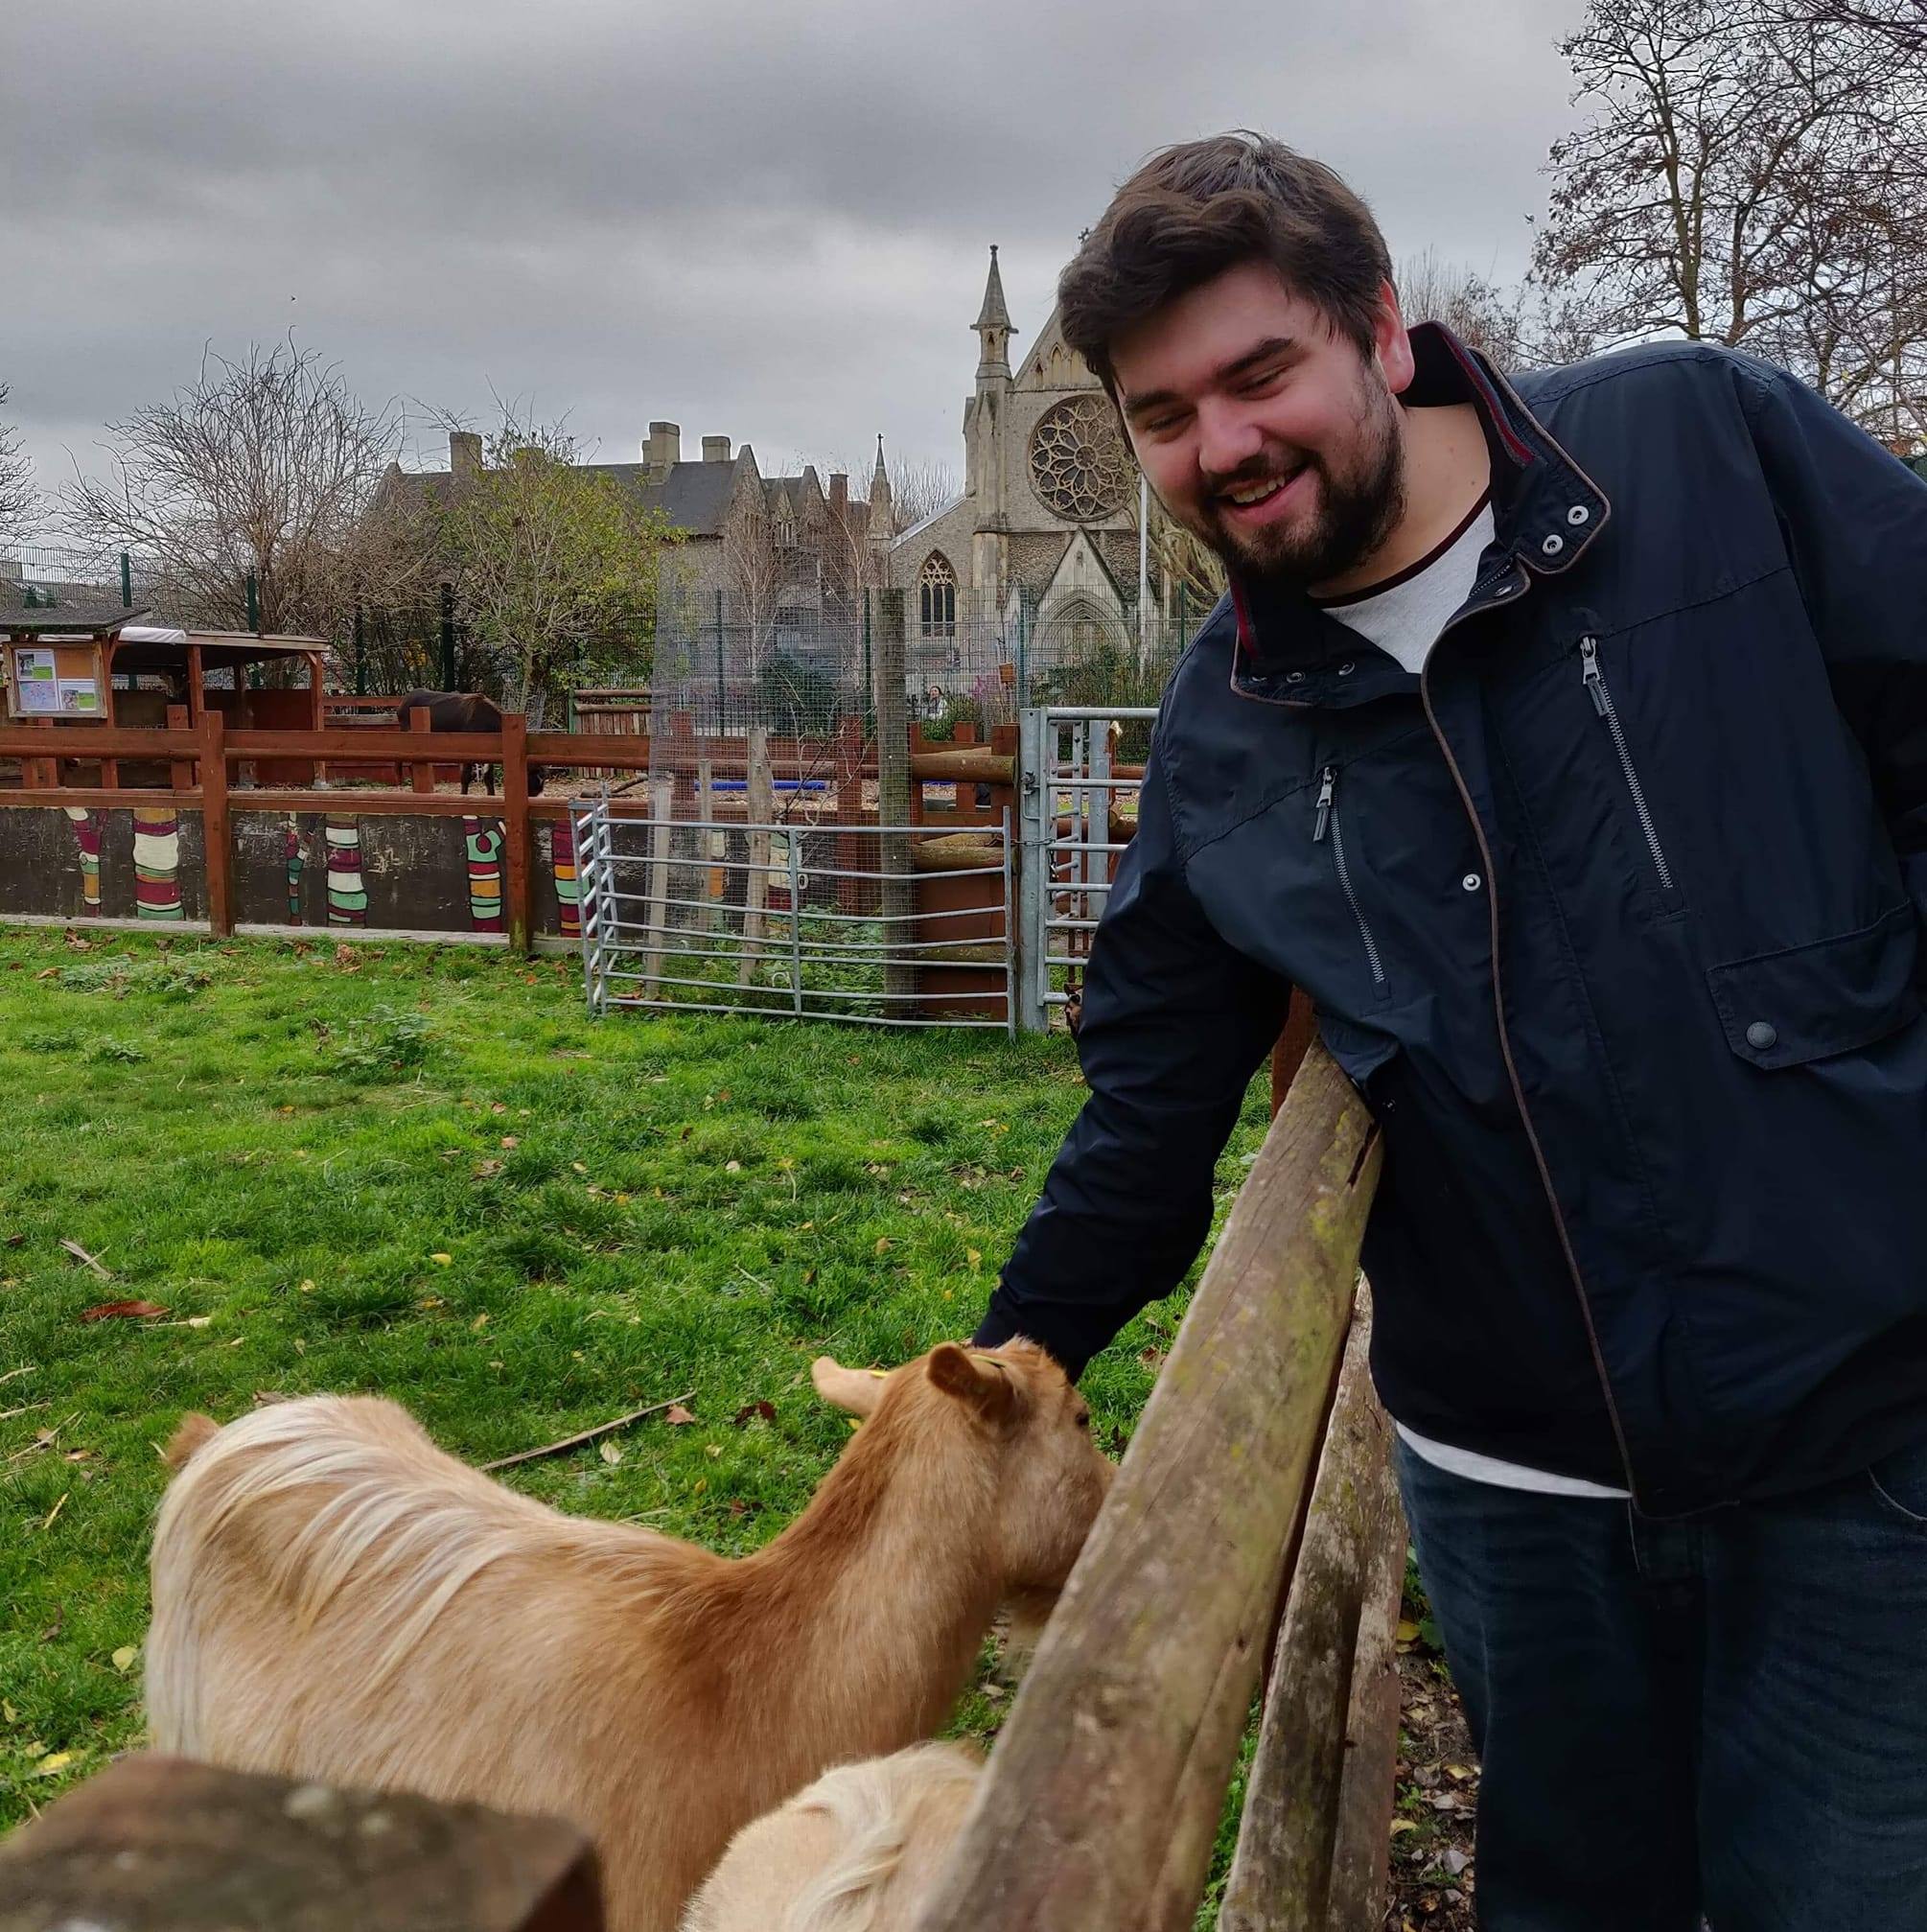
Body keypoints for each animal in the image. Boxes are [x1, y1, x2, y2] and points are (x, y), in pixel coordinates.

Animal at [391, 690, 548, 797]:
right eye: (533, 779)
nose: (535, 796)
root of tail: (406, 698)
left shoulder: (490, 753)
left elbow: (488, 778)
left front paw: (492, 797)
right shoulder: (467, 751)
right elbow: (466, 777)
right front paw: (464, 797)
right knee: (406, 763)